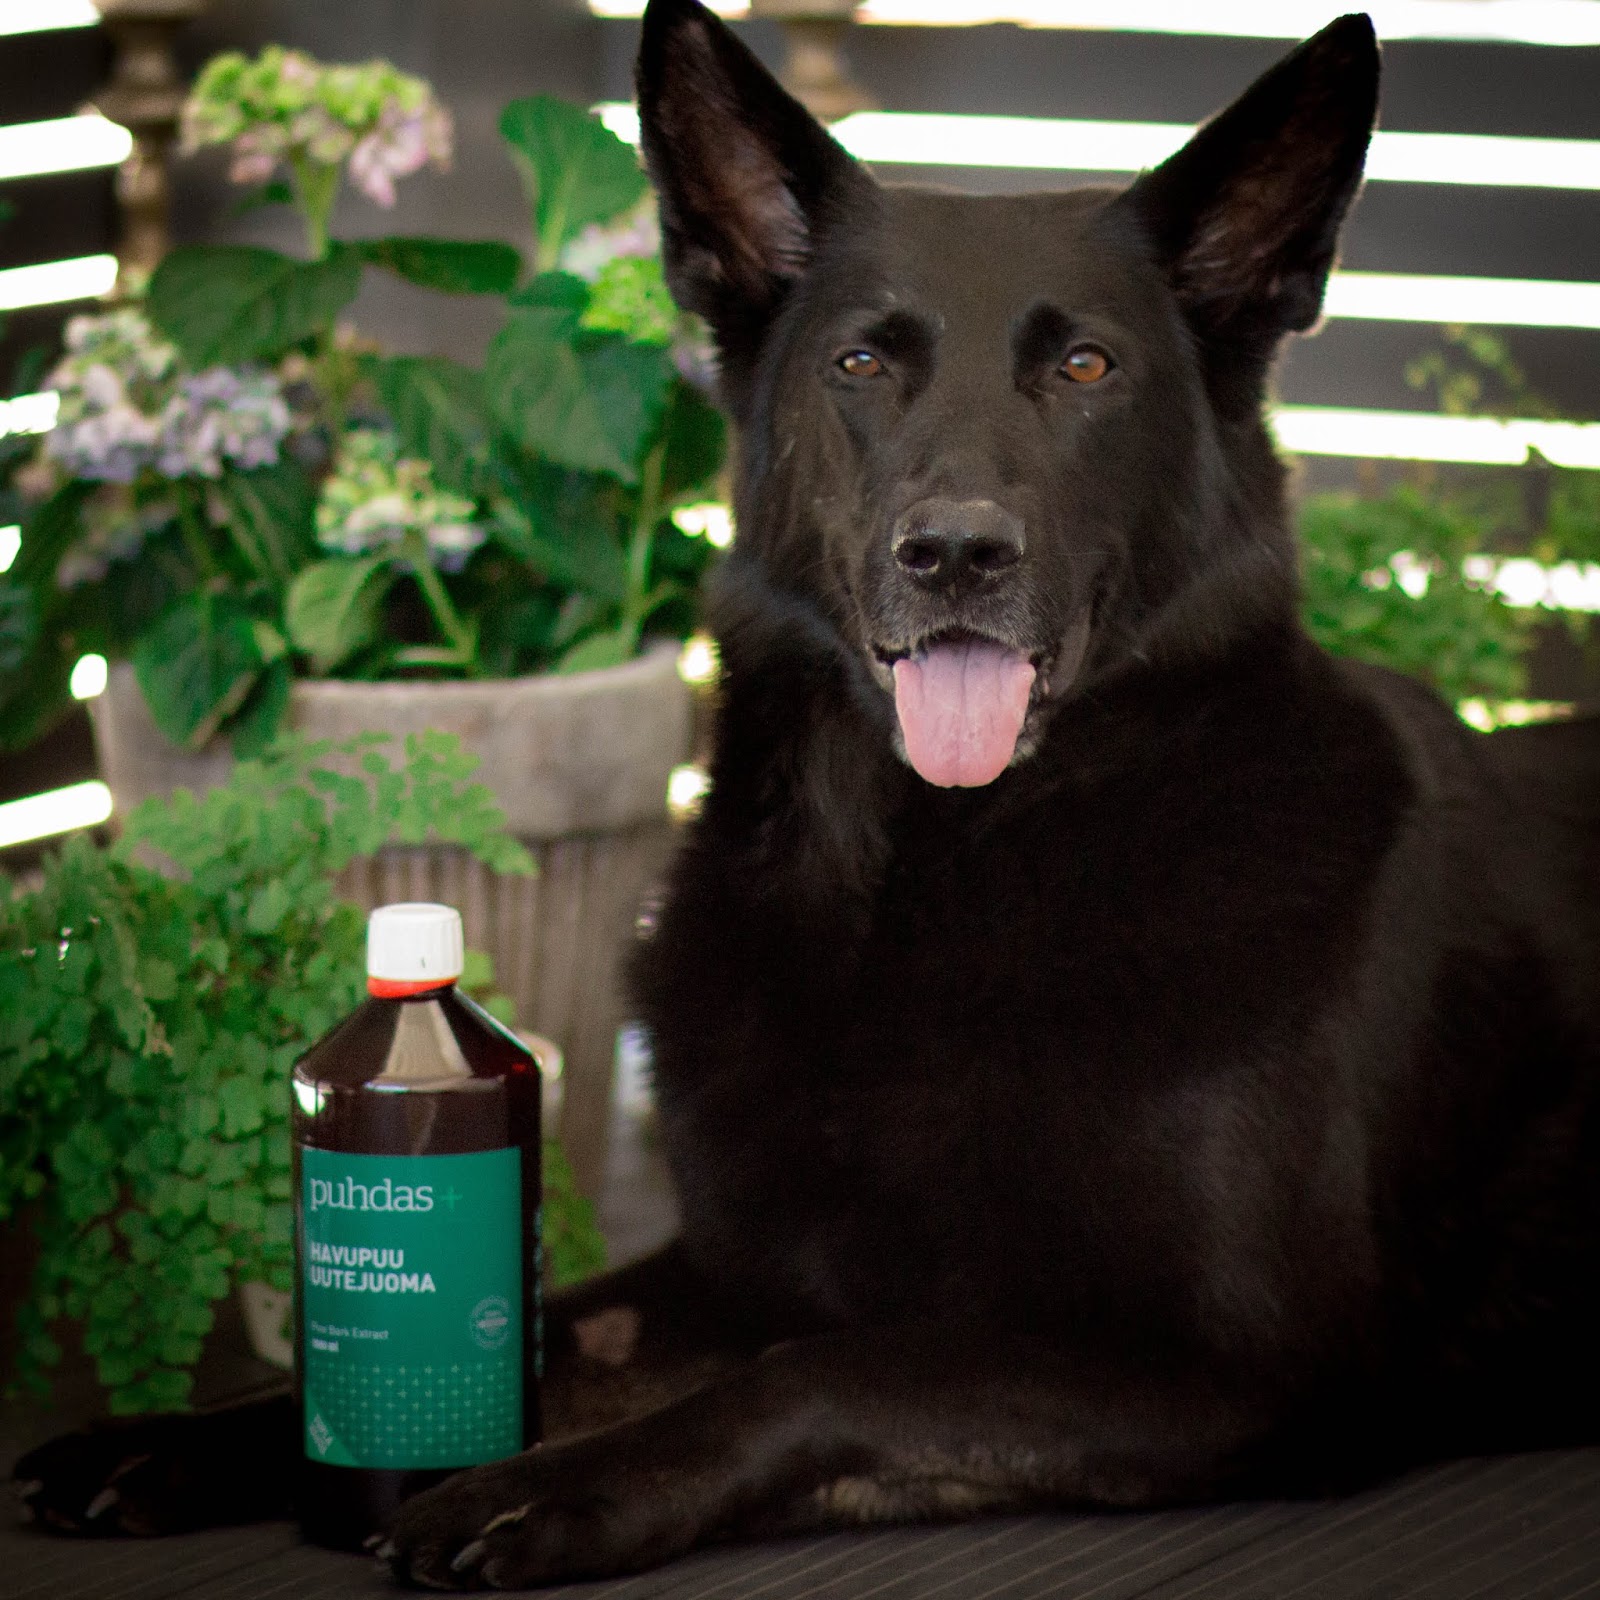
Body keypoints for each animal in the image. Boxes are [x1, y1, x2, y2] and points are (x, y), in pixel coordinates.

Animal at [16, 0, 1600, 1587]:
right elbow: (561, 1326)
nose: (954, 553)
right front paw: (189, 1435)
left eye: (1086, 369)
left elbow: (827, 1371)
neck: (925, 883)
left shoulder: (1244, 1370)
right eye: (860, 364)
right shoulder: (725, 1270)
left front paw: (538, 1489)